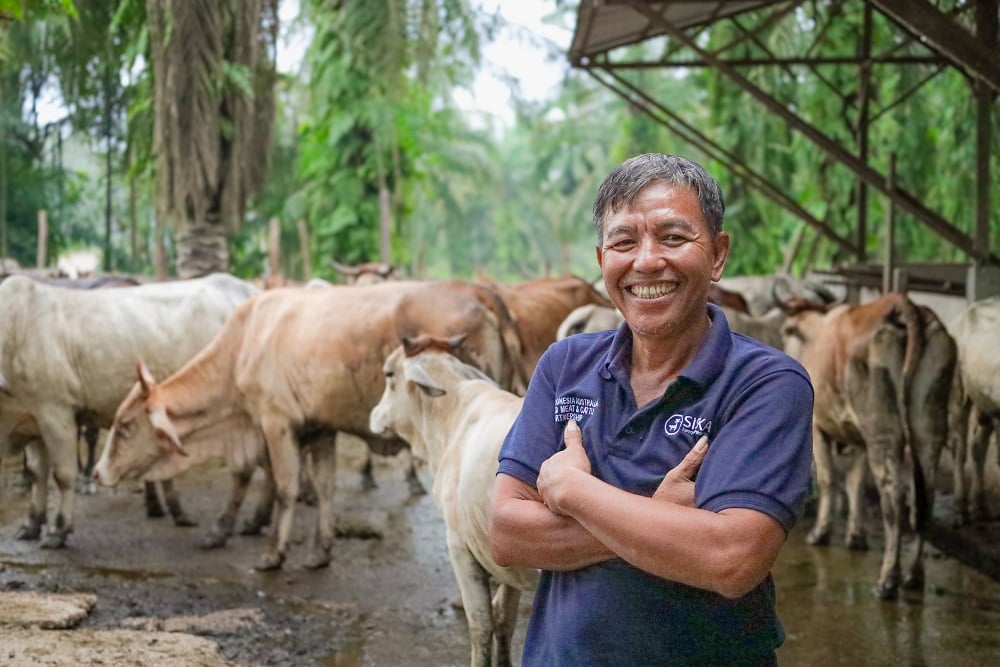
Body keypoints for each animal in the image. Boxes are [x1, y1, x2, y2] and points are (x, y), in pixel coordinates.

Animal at [370, 340, 540, 667]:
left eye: (388, 373)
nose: (373, 415)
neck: (453, 415)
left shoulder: (460, 545)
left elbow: (481, 623)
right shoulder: (506, 556)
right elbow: (505, 619)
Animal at [780, 292, 952, 600]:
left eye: (786, 331)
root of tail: (903, 305)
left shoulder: (818, 426)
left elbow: (829, 480)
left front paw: (820, 533)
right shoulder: (858, 437)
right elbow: (856, 483)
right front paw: (855, 536)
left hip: (881, 430)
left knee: (894, 499)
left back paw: (887, 580)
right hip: (929, 428)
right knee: (924, 500)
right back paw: (913, 576)